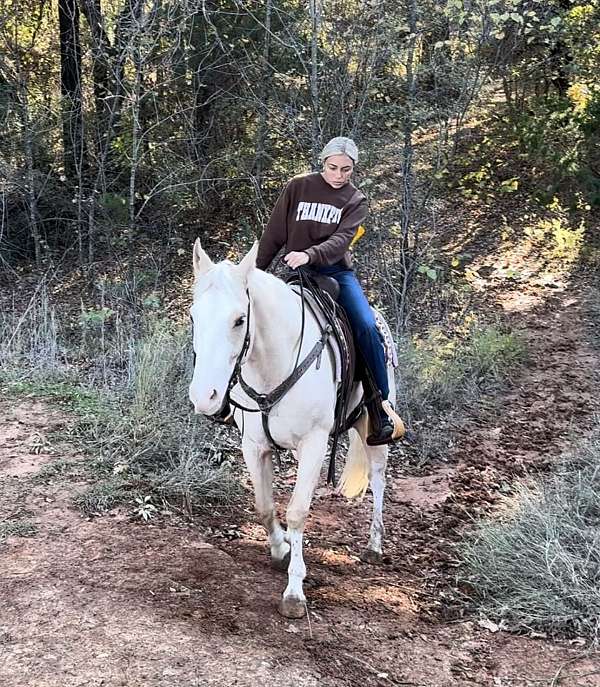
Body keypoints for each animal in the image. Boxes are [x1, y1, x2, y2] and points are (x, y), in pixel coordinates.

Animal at [188, 239, 394, 620]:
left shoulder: (313, 445)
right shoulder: (254, 446)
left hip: (372, 427)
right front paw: (280, 548)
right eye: (194, 317)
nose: (204, 397)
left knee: (377, 479)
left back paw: (374, 544)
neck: (273, 364)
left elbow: (297, 511)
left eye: (240, 320)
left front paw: (294, 591)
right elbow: (264, 505)